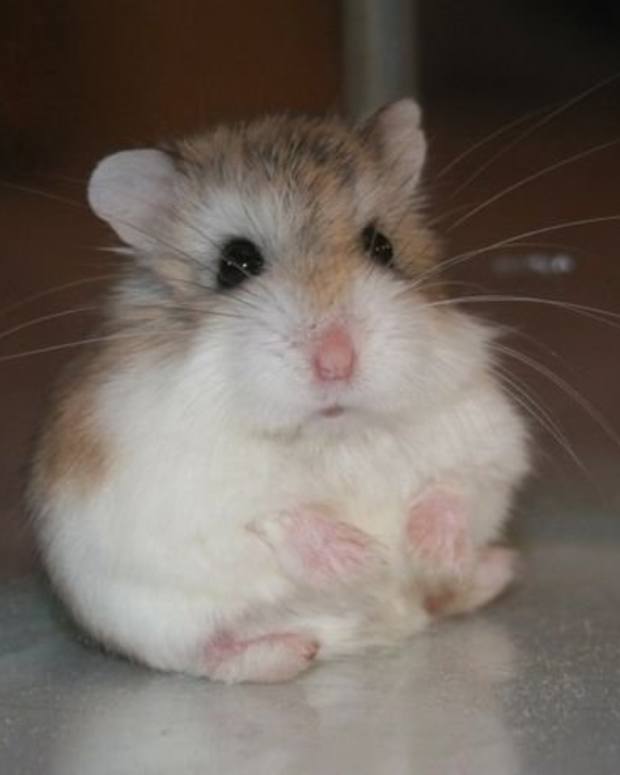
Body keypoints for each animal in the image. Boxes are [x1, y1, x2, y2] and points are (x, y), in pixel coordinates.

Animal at [29, 99, 530, 683]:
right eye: (235, 263)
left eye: (381, 246)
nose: (336, 362)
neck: (332, 432)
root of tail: (381, 627)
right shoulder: (182, 496)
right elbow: (271, 514)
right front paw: (364, 556)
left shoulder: (486, 437)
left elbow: (457, 484)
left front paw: (424, 545)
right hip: (146, 622)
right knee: (207, 653)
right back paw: (291, 650)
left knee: (442, 599)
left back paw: (490, 569)